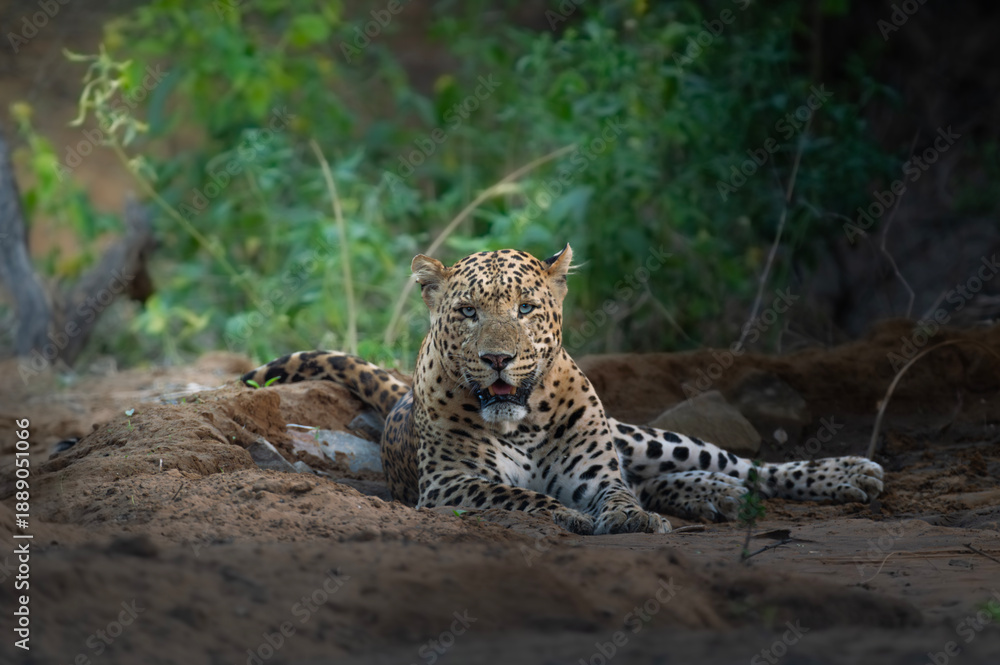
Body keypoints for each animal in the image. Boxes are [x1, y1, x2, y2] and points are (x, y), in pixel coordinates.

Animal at [242, 245, 884, 535]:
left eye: (526, 309)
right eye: (468, 313)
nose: (497, 358)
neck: (520, 422)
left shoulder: (596, 472)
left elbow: (619, 495)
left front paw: (630, 520)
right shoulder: (452, 484)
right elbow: (520, 497)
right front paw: (570, 517)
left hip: (641, 437)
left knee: (740, 464)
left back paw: (844, 474)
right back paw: (711, 496)